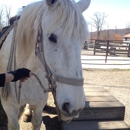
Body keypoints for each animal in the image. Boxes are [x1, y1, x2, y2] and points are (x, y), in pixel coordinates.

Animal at [0, 0, 90, 129]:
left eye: (83, 40)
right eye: (51, 37)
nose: (75, 107)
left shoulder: (39, 104)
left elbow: (37, 121)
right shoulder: (9, 107)